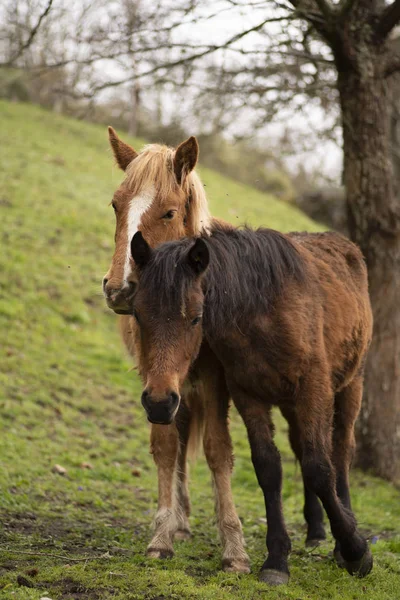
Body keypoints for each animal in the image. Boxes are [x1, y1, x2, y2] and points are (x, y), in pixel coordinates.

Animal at [130, 226, 372, 584]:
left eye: (196, 319)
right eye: (137, 314)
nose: (159, 403)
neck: (263, 311)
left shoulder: (314, 390)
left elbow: (319, 467)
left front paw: (356, 551)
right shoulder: (249, 396)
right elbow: (269, 468)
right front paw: (276, 560)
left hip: (350, 386)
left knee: (340, 452)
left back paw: (342, 537)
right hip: (291, 405)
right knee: (300, 447)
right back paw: (316, 530)